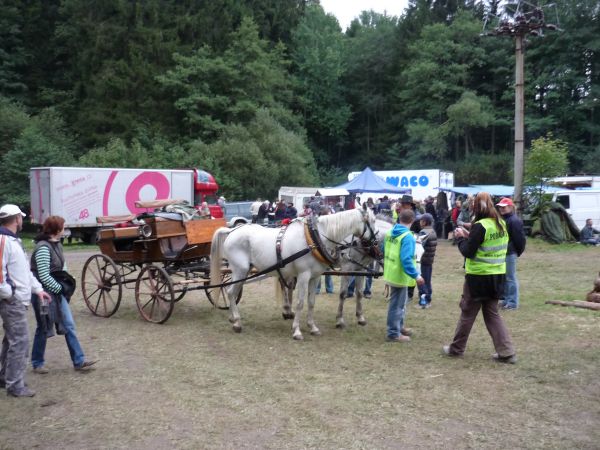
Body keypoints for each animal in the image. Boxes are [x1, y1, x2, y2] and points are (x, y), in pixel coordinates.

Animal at [209, 207, 376, 338]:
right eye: (373, 221)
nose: (374, 243)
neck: (314, 239)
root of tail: (232, 230)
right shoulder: (303, 275)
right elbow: (300, 302)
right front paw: (297, 331)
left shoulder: (315, 277)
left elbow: (311, 302)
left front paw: (312, 327)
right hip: (240, 270)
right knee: (231, 292)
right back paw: (237, 323)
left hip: (242, 271)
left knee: (231, 291)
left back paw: (232, 318)